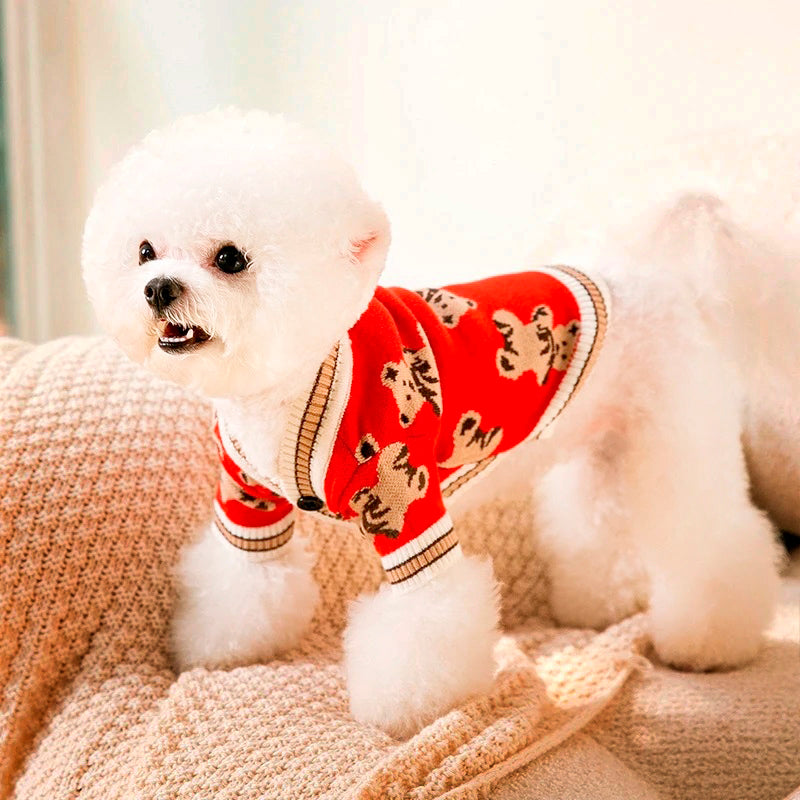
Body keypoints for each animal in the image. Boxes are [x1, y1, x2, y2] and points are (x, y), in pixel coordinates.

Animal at [83, 111, 788, 736]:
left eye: (231, 258)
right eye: (145, 251)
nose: (158, 288)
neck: (292, 384)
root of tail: (664, 278)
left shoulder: (405, 501)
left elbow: (425, 617)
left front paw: (404, 711)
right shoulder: (248, 501)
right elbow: (240, 579)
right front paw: (216, 646)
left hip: (678, 437)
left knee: (713, 540)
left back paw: (709, 642)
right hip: (604, 442)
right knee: (599, 527)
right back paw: (601, 604)